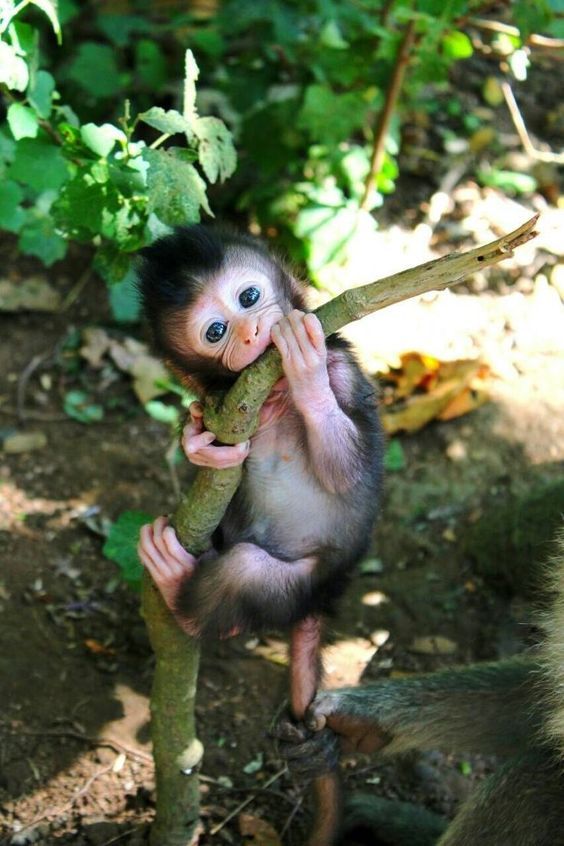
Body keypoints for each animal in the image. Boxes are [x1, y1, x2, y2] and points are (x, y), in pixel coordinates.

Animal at [136, 224, 383, 720]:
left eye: (249, 296)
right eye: (216, 331)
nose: (250, 330)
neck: (273, 391)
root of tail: (325, 596)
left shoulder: (343, 371)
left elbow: (349, 475)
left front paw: (306, 370)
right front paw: (199, 445)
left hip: (301, 584)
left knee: (242, 574)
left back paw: (175, 586)